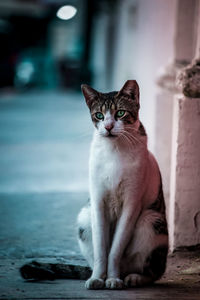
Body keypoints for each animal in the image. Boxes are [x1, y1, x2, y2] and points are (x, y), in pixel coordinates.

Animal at [77, 79, 168, 288]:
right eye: (99, 115)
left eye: (120, 113)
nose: (108, 126)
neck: (114, 150)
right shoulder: (97, 202)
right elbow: (101, 248)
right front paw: (97, 277)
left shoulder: (131, 203)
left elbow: (115, 249)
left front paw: (112, 278)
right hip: (85, 218)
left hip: (151, 220)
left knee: (154, 271)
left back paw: (134, 278)